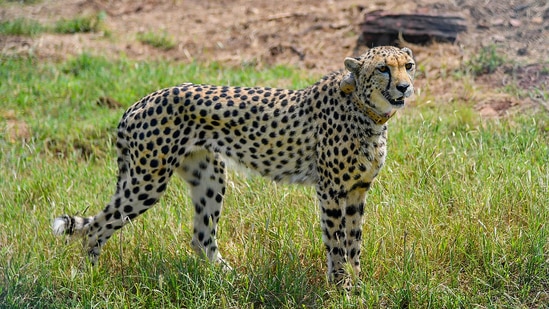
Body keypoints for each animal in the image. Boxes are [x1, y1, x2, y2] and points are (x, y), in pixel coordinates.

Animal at [52, 45, 416, 286]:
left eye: (409, 65)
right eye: (383, 68)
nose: (405, 86)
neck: (367, 111)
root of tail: (139, 102)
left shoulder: (357, 191)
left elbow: (354, 243)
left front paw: (358, 286)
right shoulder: (331, 191)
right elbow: (337, 244)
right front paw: (342, 288)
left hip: (209, 176)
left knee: (201, 237)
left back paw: (230, 279)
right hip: (147, 181)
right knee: (97, 227)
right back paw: (89, 278)